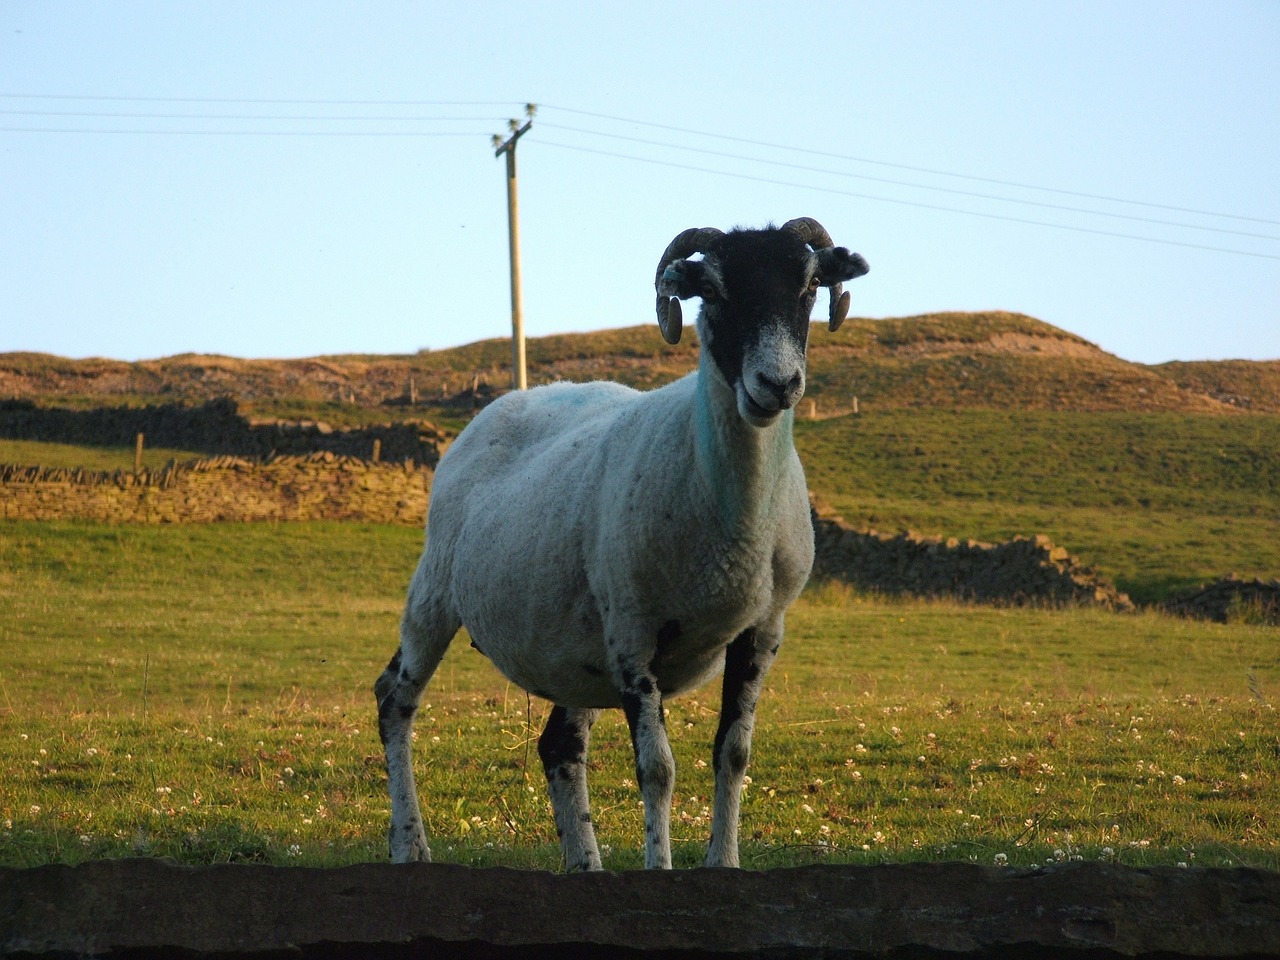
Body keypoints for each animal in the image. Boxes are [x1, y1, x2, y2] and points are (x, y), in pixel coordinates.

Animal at [371, 217, 870, 870]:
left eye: (810, 285)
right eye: (713, 291)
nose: (778, 384)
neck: (734, 519)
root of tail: (506, 402)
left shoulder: (764, 626)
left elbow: (733, 753)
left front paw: (724, 862)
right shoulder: (633, 631)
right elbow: (657, 769)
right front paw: (658, 866)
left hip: (574, 645)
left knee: (558, 744)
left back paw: (584, 863)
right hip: (436, 591)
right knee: (395, 700)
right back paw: (410, 844)